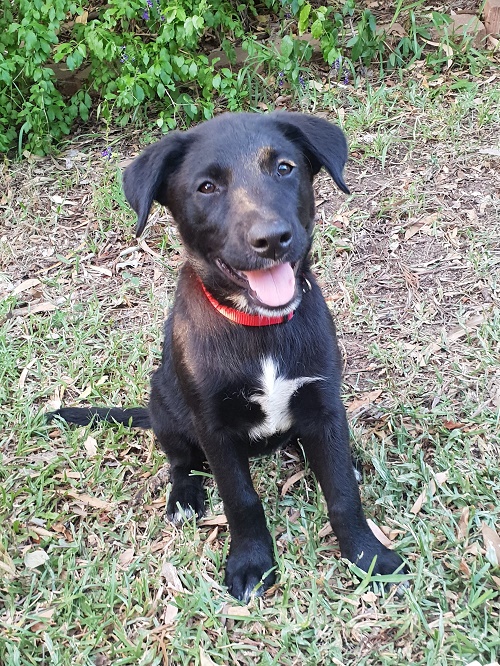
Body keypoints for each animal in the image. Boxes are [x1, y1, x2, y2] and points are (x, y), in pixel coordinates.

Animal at [47, 111, 406, 600]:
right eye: (206, 187)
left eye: (285, 168)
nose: (272, 239)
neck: (259, 328)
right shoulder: (214, 427)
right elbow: (241, 498)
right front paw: (251, 562)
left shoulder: (325, 404)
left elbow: (343, 494)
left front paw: (368, 556)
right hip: (165, 403)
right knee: (181, 461)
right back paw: (184, 496)